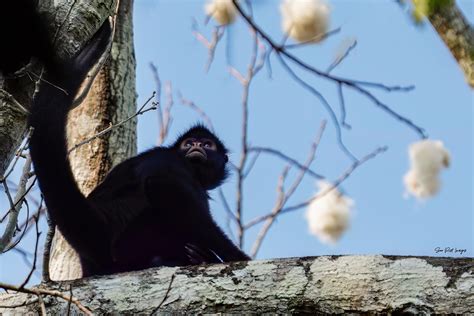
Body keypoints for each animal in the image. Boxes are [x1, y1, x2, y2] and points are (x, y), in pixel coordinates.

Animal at [0, 0, 250, 276]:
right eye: (189, 143)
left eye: (206, 144)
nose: (196, 146)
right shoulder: (170, 161)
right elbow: (163, 185)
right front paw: (238, 256)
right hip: (133, 237)